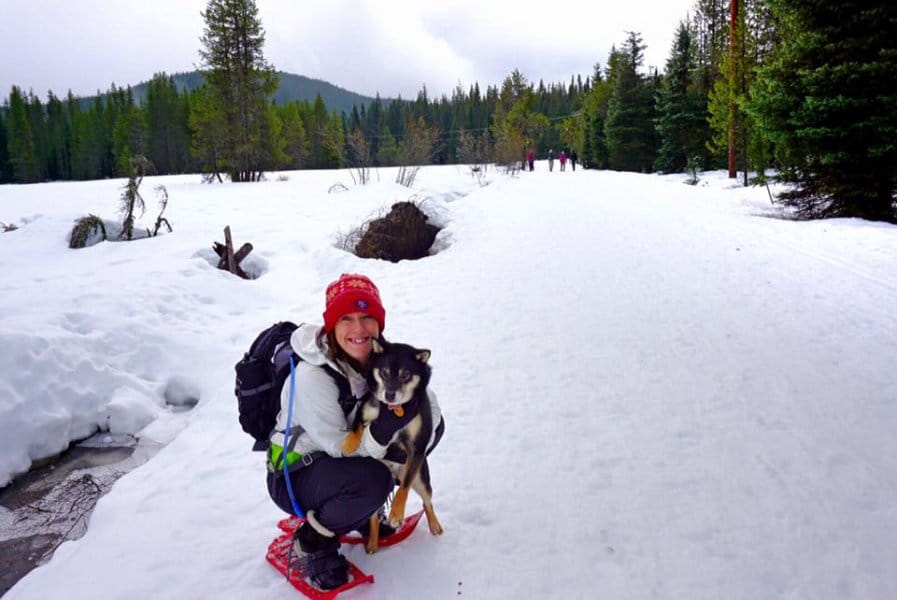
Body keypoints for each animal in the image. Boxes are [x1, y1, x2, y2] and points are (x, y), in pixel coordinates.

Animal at [342, 338, 442, 552]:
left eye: (405, 375)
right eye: (384, 372)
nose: (389, 395)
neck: (394, 410)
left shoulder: (417, 446)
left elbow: (404, 489)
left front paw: (396, 514)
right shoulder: (366, 411)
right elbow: (356, 426)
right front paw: (348, 444)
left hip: (421, 479)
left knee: (427, 502)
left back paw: (434, 525)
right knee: (372, 516)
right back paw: (372, 542)